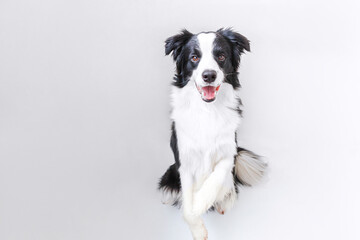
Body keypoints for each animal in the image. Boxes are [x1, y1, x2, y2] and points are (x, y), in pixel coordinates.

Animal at [158, 29, 268, 239]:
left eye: (221, 56)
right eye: (194, 57)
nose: (209, 75)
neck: (207, 110)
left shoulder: (228, 153)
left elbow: (215, 180)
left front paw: (201, 203)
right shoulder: (184, 160)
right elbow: (187, 203)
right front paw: (197, 226)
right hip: (171, 171)